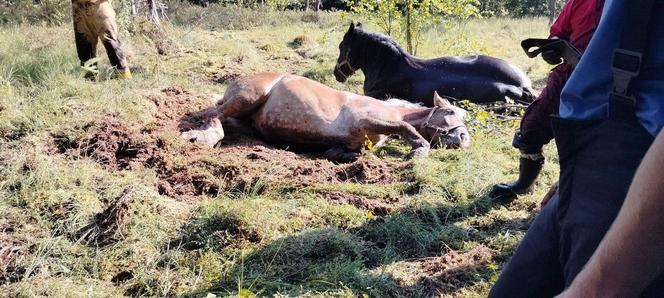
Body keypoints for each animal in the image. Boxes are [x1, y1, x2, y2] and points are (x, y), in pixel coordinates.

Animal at [183, 72, 472, 161]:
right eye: (449, 111)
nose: (463, 138)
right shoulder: (367, 120)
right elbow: (405, 128)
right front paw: (418, 150)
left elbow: (342, 151)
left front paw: (346, 157)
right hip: (249, 96)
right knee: (214, 116)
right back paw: (201, 137)